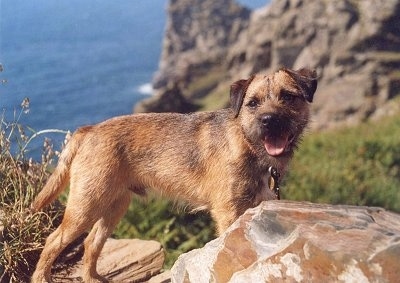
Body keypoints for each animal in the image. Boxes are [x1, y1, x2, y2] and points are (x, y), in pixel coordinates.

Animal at [31, 67, 318, 282]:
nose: (269, 120)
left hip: (114, 205)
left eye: (288, 97)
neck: (247, 143)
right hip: (86, 205)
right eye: (253, 104)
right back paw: (42, 277)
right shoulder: (229, 212)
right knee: (54, 240)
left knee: (92, 242)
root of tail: (89, 130)